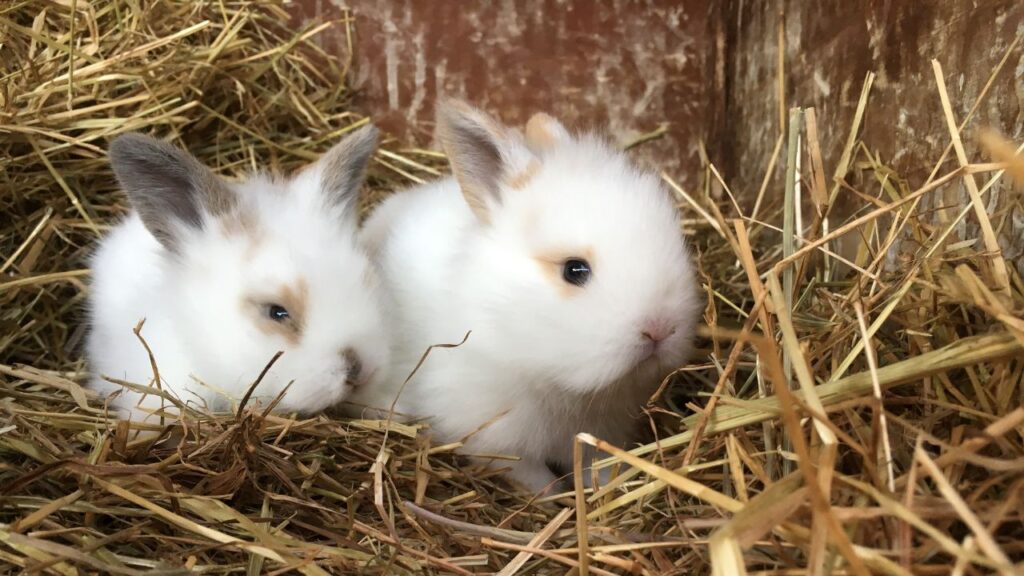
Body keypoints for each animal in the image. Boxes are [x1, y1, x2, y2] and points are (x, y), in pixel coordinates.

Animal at [348, 100, 701, 493]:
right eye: (574, 270)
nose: (661, 329)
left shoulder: (599, 433)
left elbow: (598, 467)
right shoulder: (498, 441)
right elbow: (538, 483)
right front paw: (558, 498)